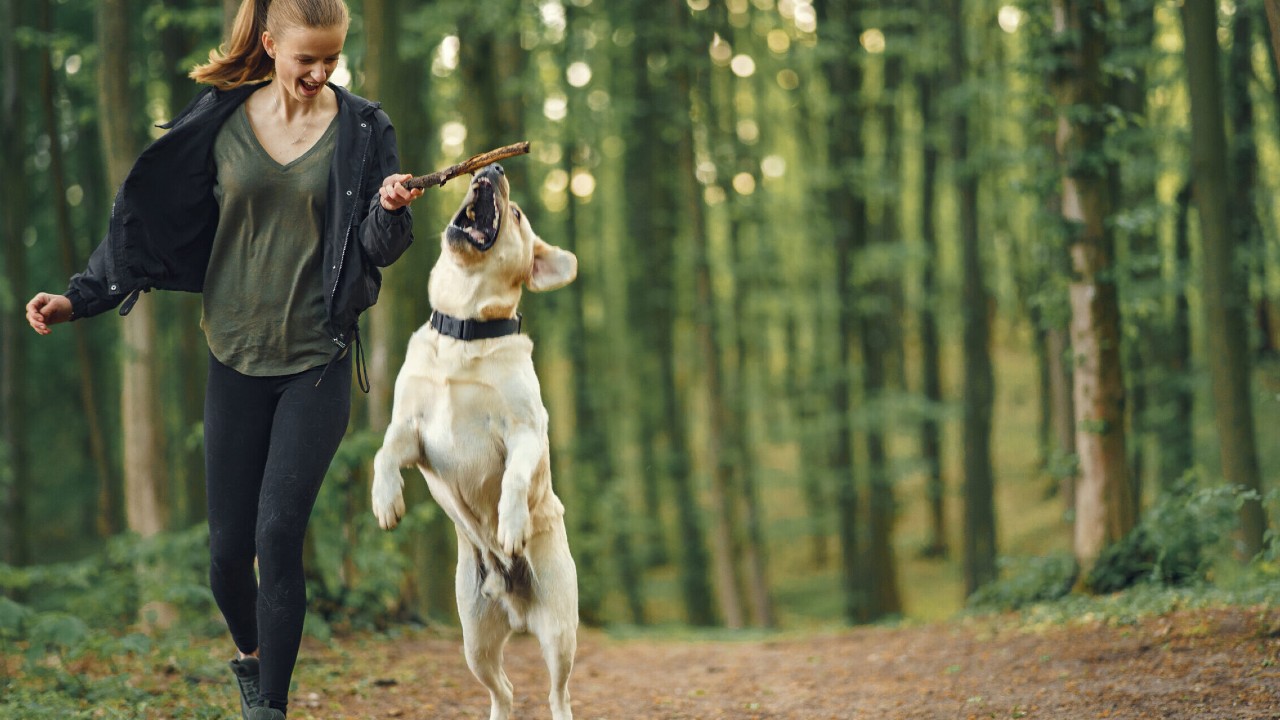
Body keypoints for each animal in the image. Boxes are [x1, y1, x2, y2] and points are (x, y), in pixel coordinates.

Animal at [371, 162, 581, 717]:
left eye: (518, 213)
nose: (493, 166)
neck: (463, 329)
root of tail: (517, 608)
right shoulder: (412, 431)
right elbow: (383, 453)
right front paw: (386, 501)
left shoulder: (525, 432)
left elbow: (514, 479)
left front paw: (510, 524)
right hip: (475, 641)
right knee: (502, 689)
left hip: (560, 632)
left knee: (557, 692)